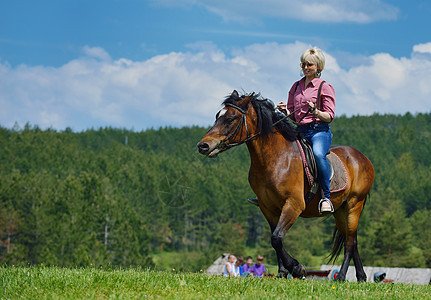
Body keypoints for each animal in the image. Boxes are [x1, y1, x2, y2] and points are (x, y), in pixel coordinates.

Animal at [197, 91, 374, 282]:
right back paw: (361, 276)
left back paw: (341, 276)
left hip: (354, 204)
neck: (275, 159)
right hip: (340, 210)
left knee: (349, 242)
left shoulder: (294, 204)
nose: (203, 146)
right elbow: (275, 239)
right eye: (217, 116)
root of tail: (362, 158)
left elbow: (276, 238)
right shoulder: (268, 207)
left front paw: (297, 268)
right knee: (352, 240)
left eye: (230, 118)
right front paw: (282, 273)